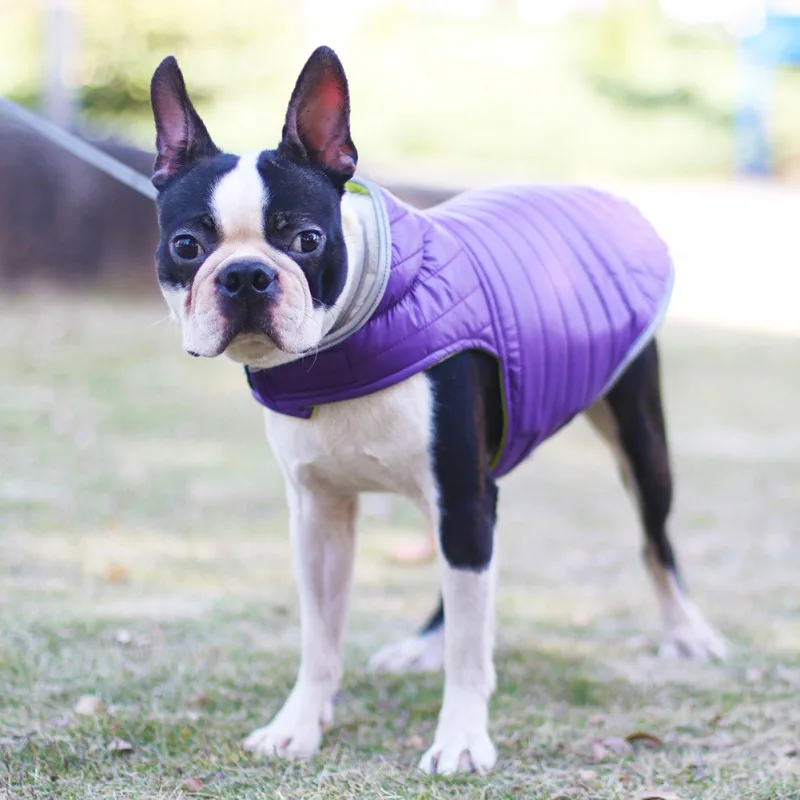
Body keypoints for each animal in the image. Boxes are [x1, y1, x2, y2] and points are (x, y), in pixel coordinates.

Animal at [147, 45, 728, 776]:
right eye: (186, 246)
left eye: (306, 240)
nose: (246, 275)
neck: (347, 346)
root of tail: (595, 193)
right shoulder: (321, 514)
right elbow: (320, 637)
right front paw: (297, 726)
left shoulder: (462, 494)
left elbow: (470, 652)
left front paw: (460, 739)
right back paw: (424, 641)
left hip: (637, 439)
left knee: (656, 540)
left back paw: (687, 632)